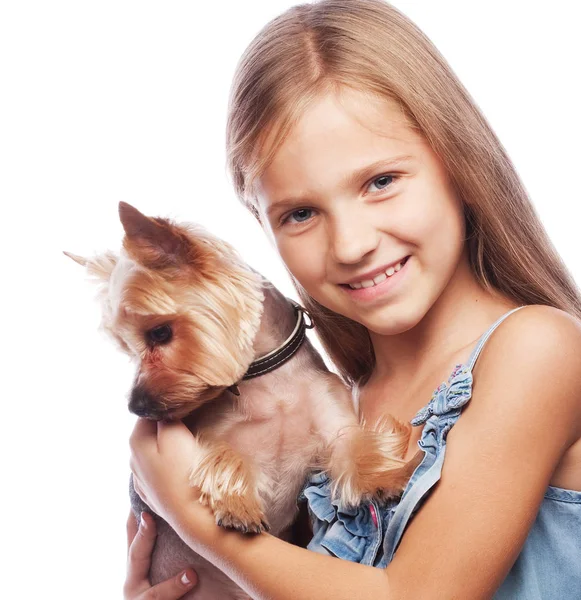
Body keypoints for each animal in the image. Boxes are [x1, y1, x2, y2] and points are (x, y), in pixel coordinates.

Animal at [64, 203, 416, 600]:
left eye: (160, 333)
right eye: (129, 348)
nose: (138, 407)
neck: (266, 377)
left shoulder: (332, 420)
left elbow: (353, 444)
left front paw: (382, 479)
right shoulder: (212, 433)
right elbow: (225, 456)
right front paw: (238, 506)